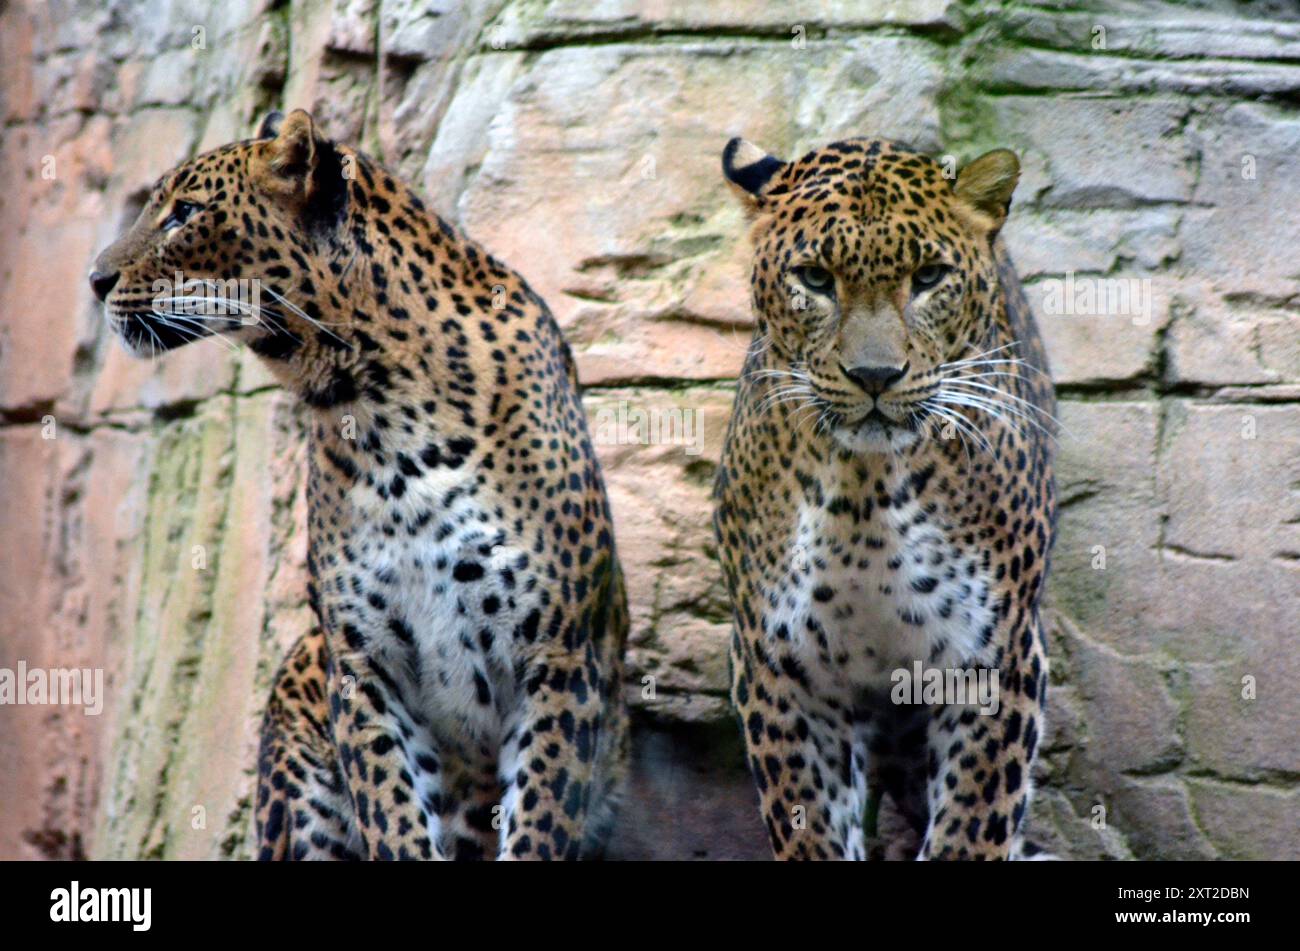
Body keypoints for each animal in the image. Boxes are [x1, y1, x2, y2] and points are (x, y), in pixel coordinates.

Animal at [89, 109, 629, 860]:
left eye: (186, 214)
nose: (94, 279)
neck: (379, 406)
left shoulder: (557, 655)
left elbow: (539, 822)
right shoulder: (364, 663)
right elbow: (393, 814)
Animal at [712, 136, 1057, 860]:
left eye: (928, 276)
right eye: (815, 278)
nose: (874, 375)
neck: (863, 495)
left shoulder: (996, 656)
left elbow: (972, 826)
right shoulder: (780, 667)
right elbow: (808, 825)